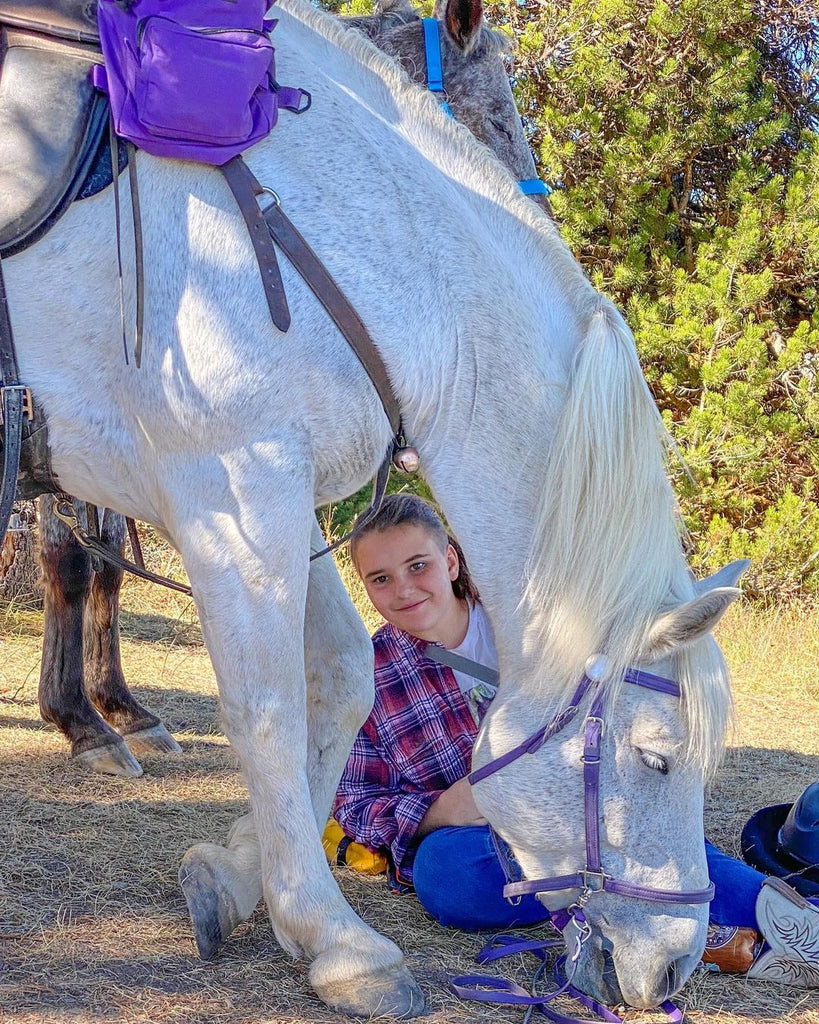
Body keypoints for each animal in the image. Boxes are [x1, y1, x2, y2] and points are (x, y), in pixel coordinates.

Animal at [3, 2, 737, 1015]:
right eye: (656, 756)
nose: (674, 966)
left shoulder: (277, 490)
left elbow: (342, 676)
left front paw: (240, 875)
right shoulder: (234, 487)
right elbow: (266, 709)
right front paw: (334, 940)